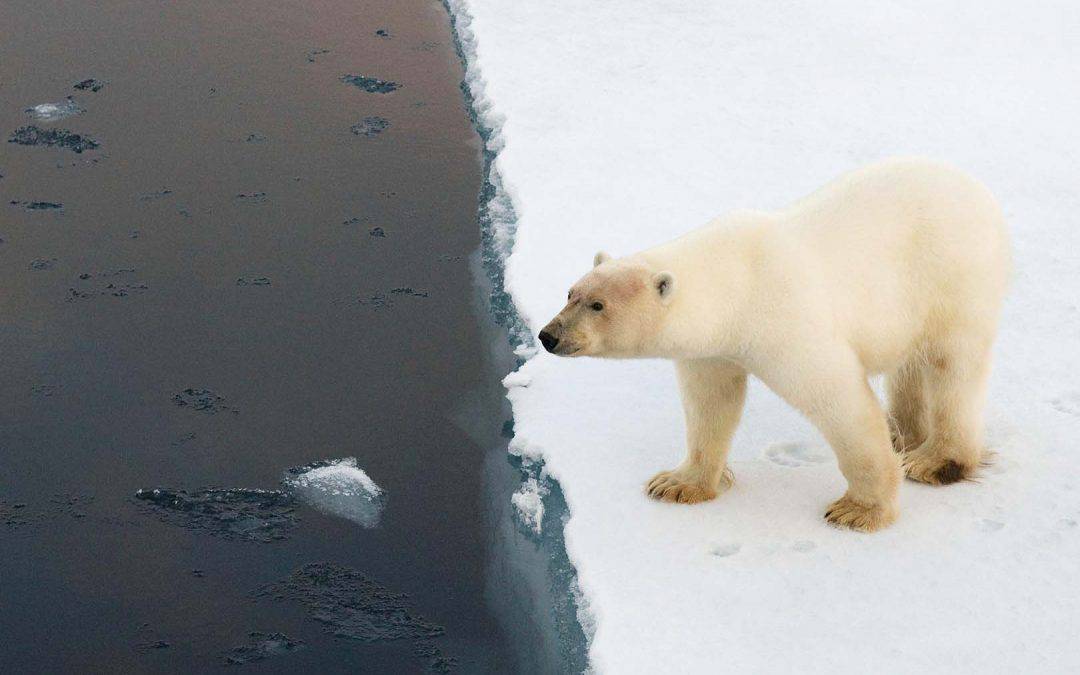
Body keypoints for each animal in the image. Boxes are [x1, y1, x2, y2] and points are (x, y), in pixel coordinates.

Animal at [540, 158, 1010, 531]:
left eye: (598, 305)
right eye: (570, 293)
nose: (549, 336)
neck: (737, 280)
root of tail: (979, 191)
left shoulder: (785, 321)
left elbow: (838, 401)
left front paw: (858, 510)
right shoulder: (713, 347)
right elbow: (710, 403)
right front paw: (678, 483)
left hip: (952, 277)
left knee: (952, 365)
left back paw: (936, 460)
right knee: (909, 366)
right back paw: (903, 435)